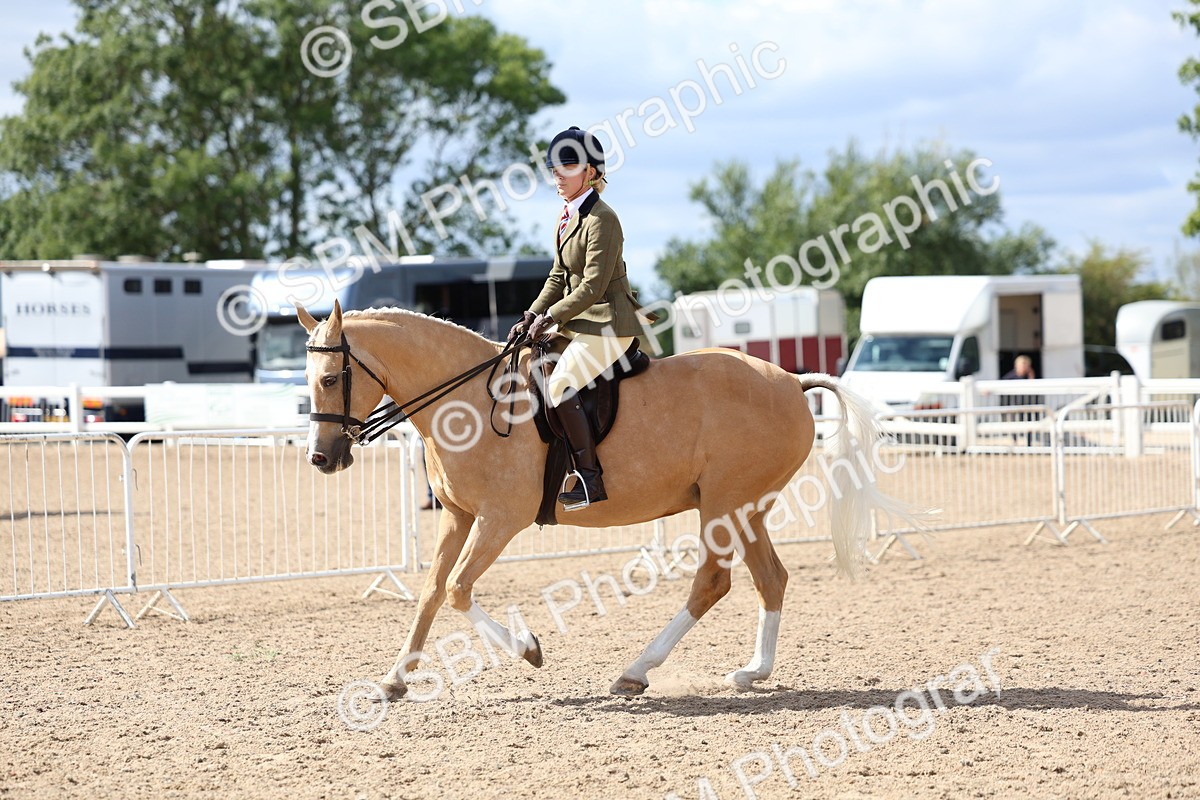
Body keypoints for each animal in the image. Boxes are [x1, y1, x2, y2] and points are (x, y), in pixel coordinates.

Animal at [297, 300, 906, 699]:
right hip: (745, 508)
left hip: (724, 506)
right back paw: (751, 672)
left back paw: (636, 671)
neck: (468, 397)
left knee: (713, 582)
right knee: (769, 579)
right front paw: (394, 680)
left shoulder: (499, 520)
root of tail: (791, 382)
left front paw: (529, 649)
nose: (321, 459)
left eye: (329, 379)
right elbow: (429, 593)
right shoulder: (458, 516)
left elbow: (457, 590)